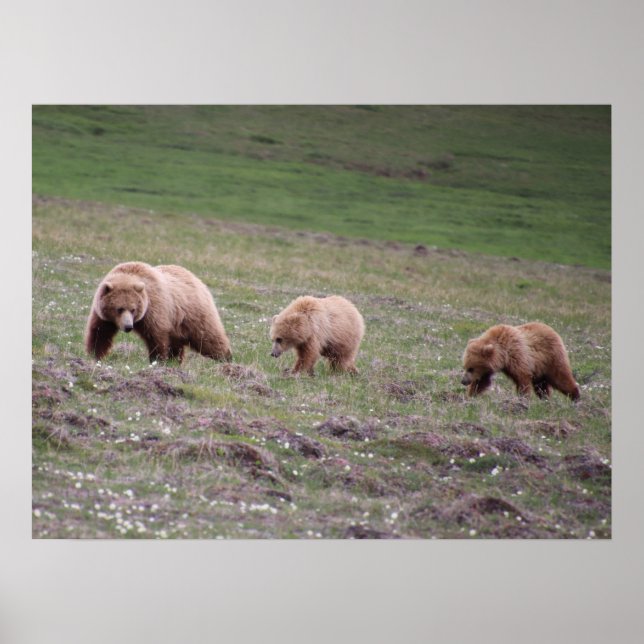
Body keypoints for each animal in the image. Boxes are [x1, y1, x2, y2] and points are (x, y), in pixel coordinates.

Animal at [85, 261, 232, 364]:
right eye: (119, 308)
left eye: (133, 309)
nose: (128, 326)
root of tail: (198, 280)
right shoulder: (103, 314)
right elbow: (100, 333)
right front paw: (94, 355)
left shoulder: (153, 308)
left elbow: (156, 337)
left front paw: (157, 360)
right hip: (177, 326)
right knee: (178, 345)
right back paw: (175, 362)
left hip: (195, 315)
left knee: (208, 338)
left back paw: (226, 358)